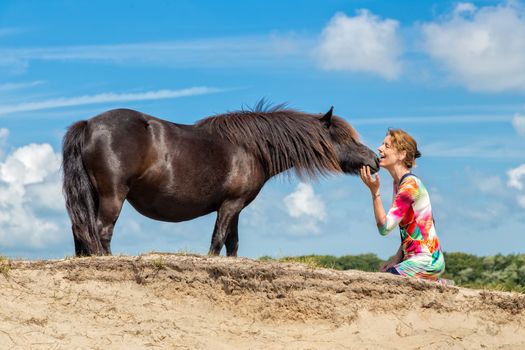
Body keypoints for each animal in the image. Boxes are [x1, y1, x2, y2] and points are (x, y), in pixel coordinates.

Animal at [63, 105, 378, 256]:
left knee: (81, 230)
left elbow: (232, 244)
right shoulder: (230, 205)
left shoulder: (234, 208)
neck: (251, 148)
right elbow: (217, 242)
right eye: (346, 138)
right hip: (113, 195)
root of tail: (89, 124)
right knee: (101, 231)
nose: (374, 159)